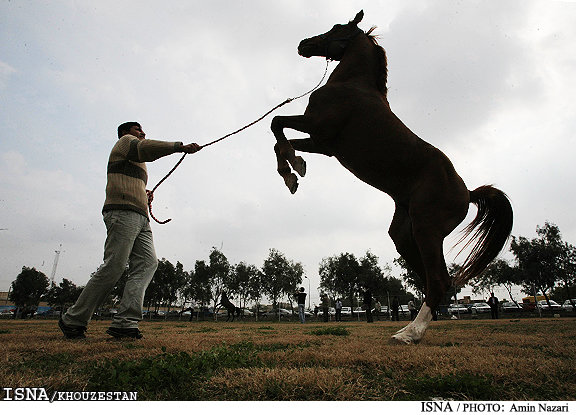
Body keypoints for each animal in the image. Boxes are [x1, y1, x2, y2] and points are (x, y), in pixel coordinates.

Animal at [272, 12, 512, 344]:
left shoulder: (317, 128)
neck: (351, 86)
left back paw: (409, 334)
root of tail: (467, 193)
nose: (304, 44)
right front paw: (293, 172)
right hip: (405, 235)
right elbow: (279, 140)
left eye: (337, 28)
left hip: (427, 230)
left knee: (439, 281)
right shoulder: (323, 144)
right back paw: (411, 327)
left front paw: (292, 170)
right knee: (437, 281)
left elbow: (275, 123)